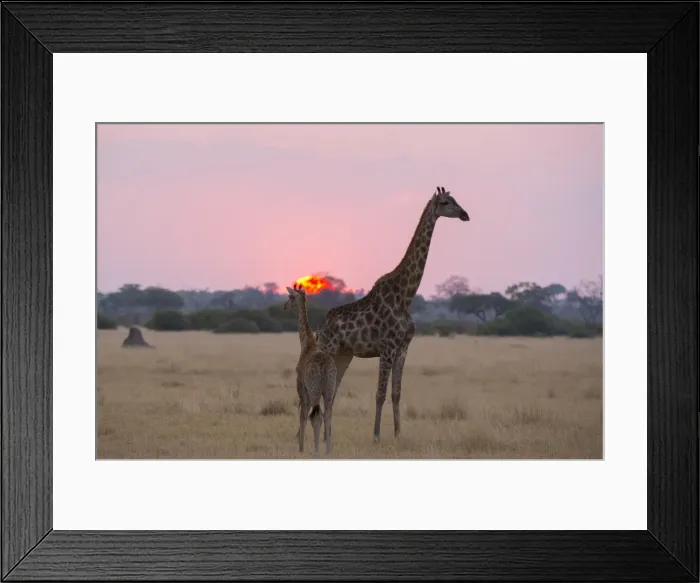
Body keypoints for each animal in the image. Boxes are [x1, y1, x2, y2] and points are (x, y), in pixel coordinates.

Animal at [284, 283, 338, 456]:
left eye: (290, 296)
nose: (284, 306)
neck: (306, 343)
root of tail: (324, 368)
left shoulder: (301, 386)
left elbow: (303, 415)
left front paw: (300, 448)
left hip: (315, 389)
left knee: (316, 416)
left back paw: (316, 451)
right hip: (329, 389)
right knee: (327, 414)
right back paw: (328, 451)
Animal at [315, 186, 470, 443]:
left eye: (456, 200)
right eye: (446, 202)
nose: (465, 215)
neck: (405, 296)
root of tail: (321, 329)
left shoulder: (403, 349)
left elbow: (396, 393)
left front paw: (398, 434)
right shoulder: (387, 348)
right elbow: (380, 393)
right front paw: (376, 436)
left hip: (344, 355)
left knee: (331, 390)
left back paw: (328, 437)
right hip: (328, 350)